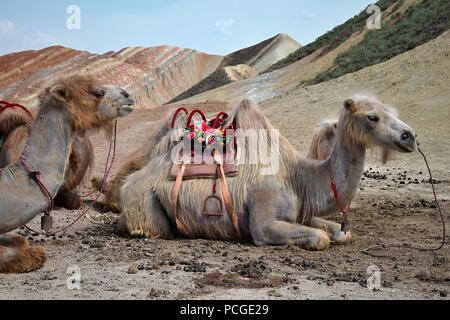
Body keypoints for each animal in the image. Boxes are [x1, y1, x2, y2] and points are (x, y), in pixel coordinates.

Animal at [118, 96, 414, 251]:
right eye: (372, 117)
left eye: (391, 110)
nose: (409, 135)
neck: (298, 177)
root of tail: (127, 184)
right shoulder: (263, 220)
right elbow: (320, 238)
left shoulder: (300, 212)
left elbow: (340, 233)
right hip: (145, 203)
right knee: (153, 229)